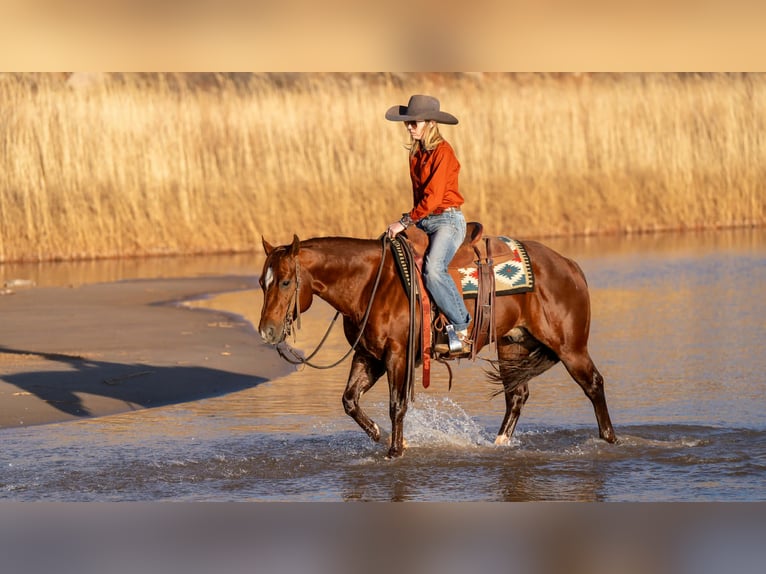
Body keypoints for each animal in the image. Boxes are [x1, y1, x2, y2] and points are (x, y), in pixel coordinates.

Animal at [258, 228, 616, 458]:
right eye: (263, 282)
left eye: (286, 281)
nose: (267, 331)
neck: (371, 283)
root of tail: (568, 265)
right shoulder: (367, 355)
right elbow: (350, 401)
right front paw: (379, 435)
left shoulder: (397, 355)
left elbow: (397, 405)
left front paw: (395, 451)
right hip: (513, 344)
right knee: (517, 396)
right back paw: (498, 445)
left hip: (570, 348)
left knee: (593, 384)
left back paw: (609, 440)